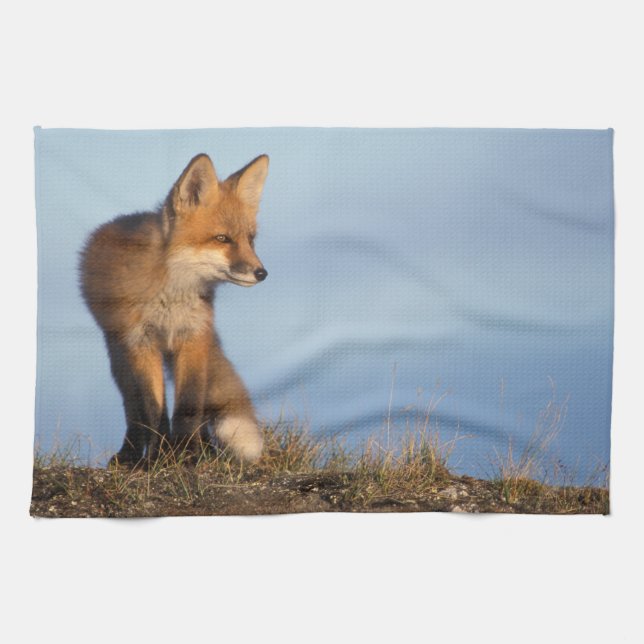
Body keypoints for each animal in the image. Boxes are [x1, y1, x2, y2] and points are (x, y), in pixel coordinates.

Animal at [80, 153, 269, 466]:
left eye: (250, 239)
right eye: (222, 239)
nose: (262, 273)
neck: (172, 296)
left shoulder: (193, 336)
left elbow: (189, 406)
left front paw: (189, 453)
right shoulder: (141, 342)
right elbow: (153, 409)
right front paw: (160, 458)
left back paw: (202, 449)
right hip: (120, 355)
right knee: (134, 410)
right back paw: (133, 454)